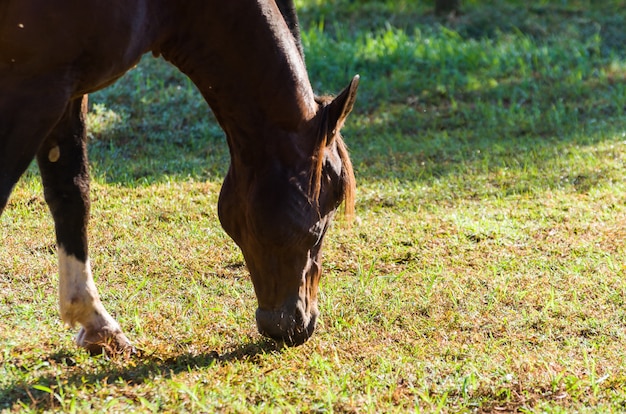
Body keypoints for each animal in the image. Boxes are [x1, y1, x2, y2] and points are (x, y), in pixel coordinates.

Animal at [0, 0, 358, 356]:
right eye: (328, 209)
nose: (301, 324)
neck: (171, 8)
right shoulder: (39, 87)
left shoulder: (70, 91)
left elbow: (72, 195)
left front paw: (95, 323)